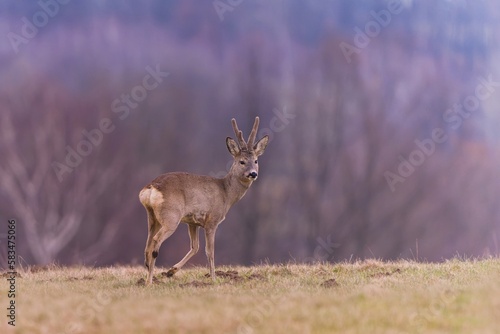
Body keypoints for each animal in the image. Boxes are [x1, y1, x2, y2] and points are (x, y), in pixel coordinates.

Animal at [139, 117, 268, 284]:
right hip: (171, 216)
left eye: (256, 161)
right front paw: (213, 278)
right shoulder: (212, 220)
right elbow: (209, 251)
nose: (253, 174)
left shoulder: (193, 222)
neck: (226, 194)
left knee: (147, 244)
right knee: (155, 241)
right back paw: (149, 281)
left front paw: (171, 271)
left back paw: (148, 276)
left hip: (152, 217)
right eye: (242, 161)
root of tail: (151, 187)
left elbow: (195, 247)